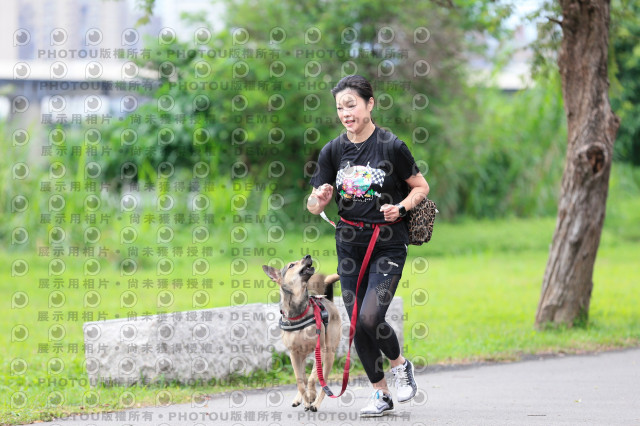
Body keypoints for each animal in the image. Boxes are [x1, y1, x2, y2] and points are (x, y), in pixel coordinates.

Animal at [262, 255, 342, 412]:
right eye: (291, 265)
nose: (307, 256)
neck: (298, 311)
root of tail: (327, 299)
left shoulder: (320, 350)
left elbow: (312, 378)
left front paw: (311, 396)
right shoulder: (294, 354)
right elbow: (300, 381)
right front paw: (305, 400)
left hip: (329, 354)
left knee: (323, 382)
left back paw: (315, 403)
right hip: (302, 355)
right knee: (304, 377)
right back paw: (301, 399)